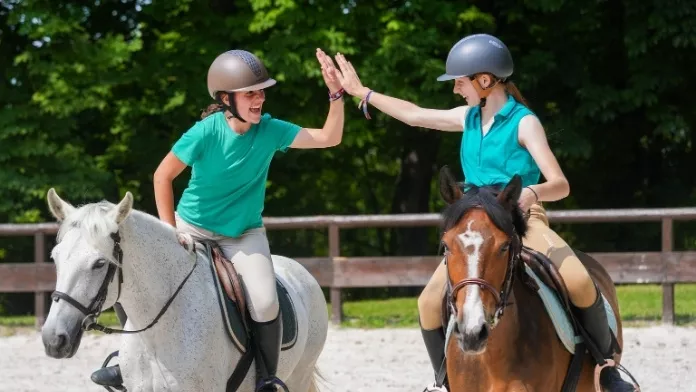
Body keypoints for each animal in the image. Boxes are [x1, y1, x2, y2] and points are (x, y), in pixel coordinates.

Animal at [40, 188, 328, 390]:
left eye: (100, 263)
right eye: (55, 257)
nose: (53, 340)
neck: (157, 334)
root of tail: (300, 270)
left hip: (299, 375)